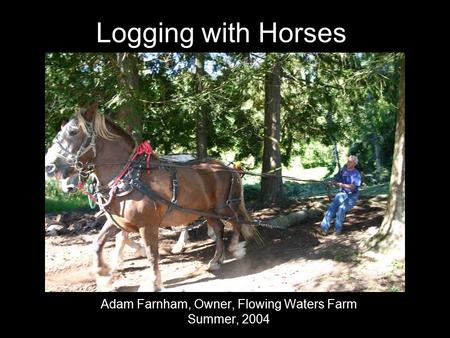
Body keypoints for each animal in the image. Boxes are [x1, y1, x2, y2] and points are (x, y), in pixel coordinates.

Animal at [45, 103, 258, 290]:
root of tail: (224, 166)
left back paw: (236, 248)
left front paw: (153, 282)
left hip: (222, 206)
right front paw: (104, 276)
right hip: (207, 210)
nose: (49, 167)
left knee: (236, 220)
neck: (129, 177)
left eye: (73, 131)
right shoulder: (116, 222)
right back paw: (216, 260)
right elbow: (98, 244)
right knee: (220, 227)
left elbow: (151, 254)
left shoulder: (147, 225)